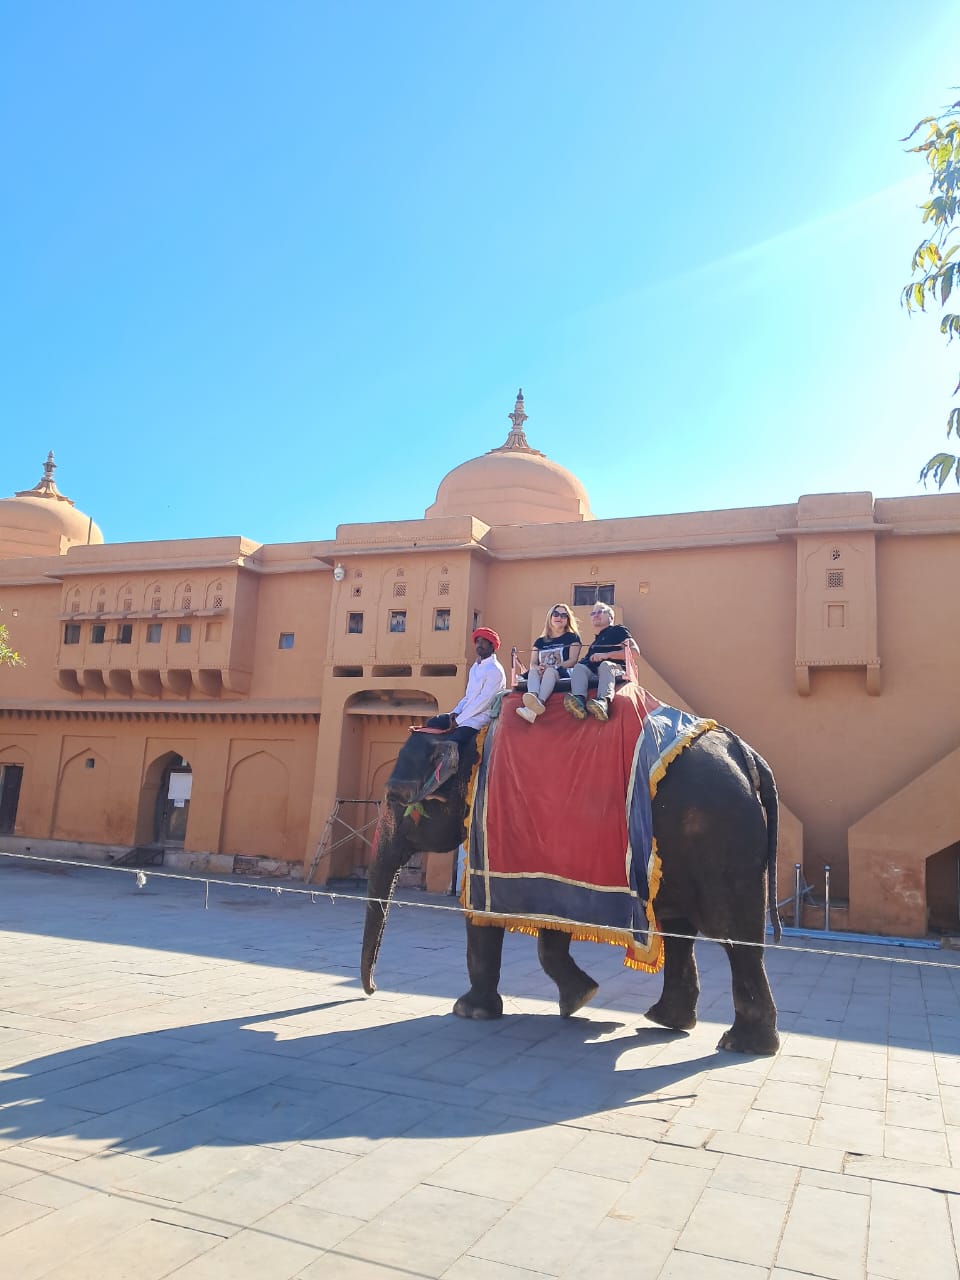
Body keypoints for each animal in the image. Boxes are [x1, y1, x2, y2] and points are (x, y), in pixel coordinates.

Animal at [360, 716, 783, 1054]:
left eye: (394, 797)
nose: (372, 990)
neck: (469, 740)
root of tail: (743, 751)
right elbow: (552, 919)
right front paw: (580, 998)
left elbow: (482, 915)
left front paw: (468, 1012)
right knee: (683, 930)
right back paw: (669, 1021)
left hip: (719, 838)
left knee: (732, 935)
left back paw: (743, 1045)